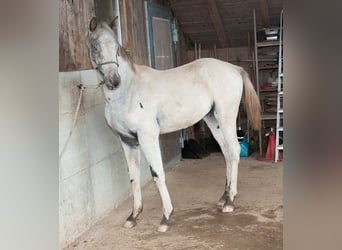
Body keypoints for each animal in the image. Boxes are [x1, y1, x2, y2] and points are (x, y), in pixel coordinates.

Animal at [87, 17, 260, 232]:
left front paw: (166, 217)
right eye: (95, 46)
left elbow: (157, 173)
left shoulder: (148, 137)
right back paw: (224, 197)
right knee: (227, 153)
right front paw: (133, 216)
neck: (128, 92)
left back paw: (230, 203)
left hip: (226, 117)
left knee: (235, 150)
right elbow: (133, 177)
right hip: (213, 120)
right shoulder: (127, 141)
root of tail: (235, 69)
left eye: (117, 47)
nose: (114, 80)